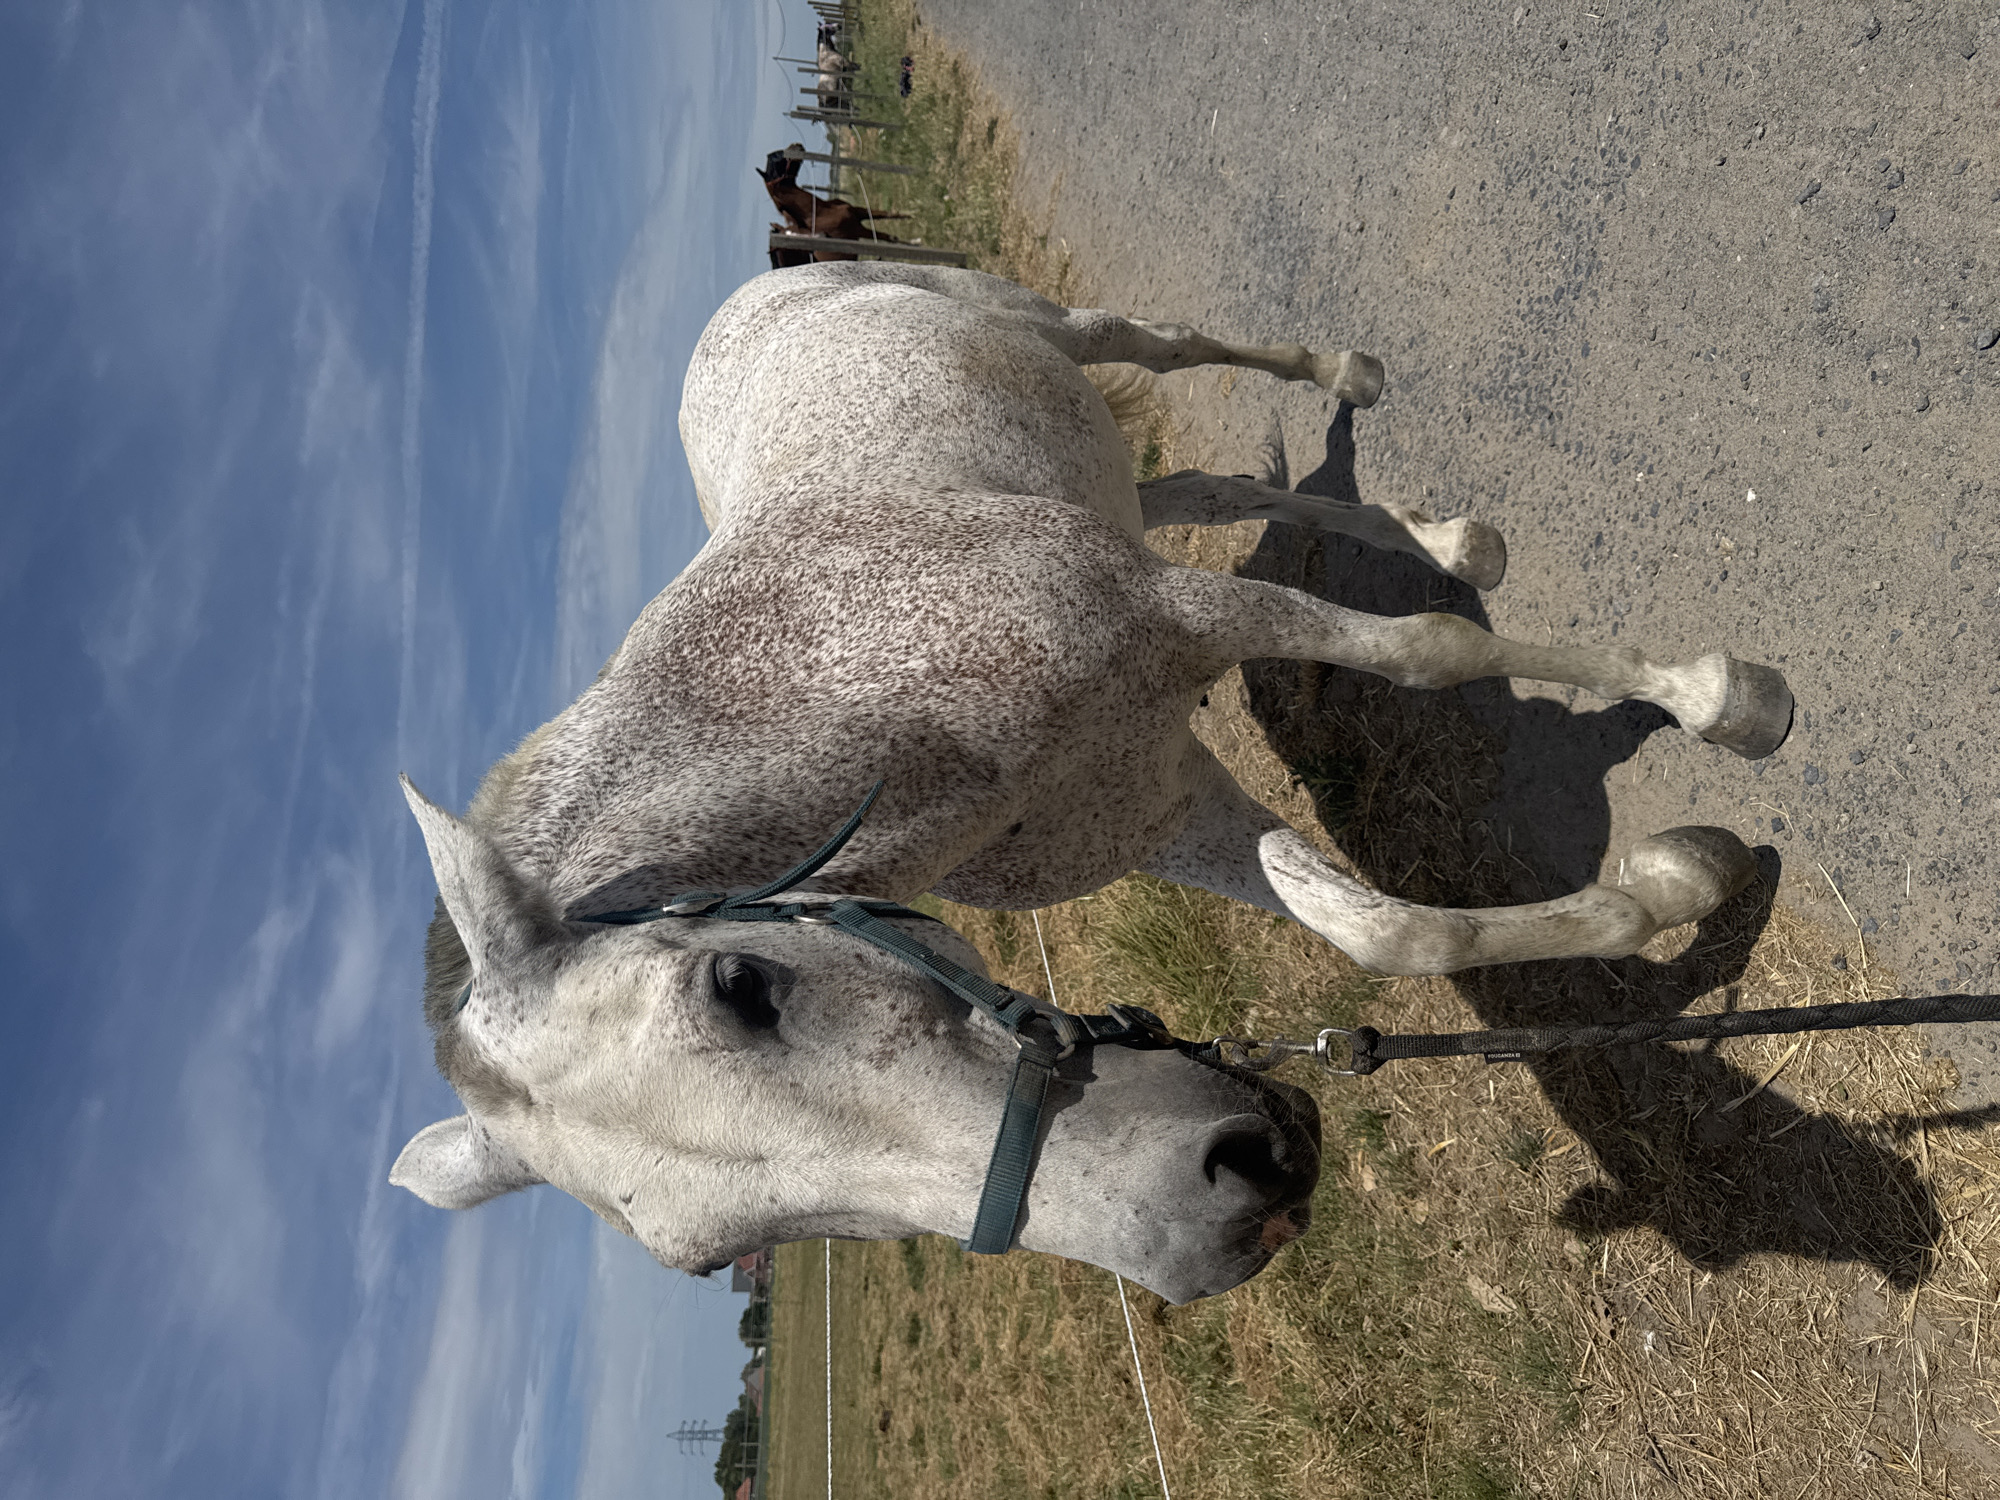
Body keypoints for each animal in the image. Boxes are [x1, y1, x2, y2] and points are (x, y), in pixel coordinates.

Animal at [390, 262, 1792, 1302]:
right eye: (715, 1253)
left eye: (740, 986)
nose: (1220, 1215)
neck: (847, 696)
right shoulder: (1164, 810)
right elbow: (1379, 931)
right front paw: (1674, 882)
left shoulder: (1197, 617)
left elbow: (1430, 654)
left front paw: (1721, 704)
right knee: (1199, 487)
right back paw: (1446, 536)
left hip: (1054, 324)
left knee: (1175, 346)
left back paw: (1365, 399)